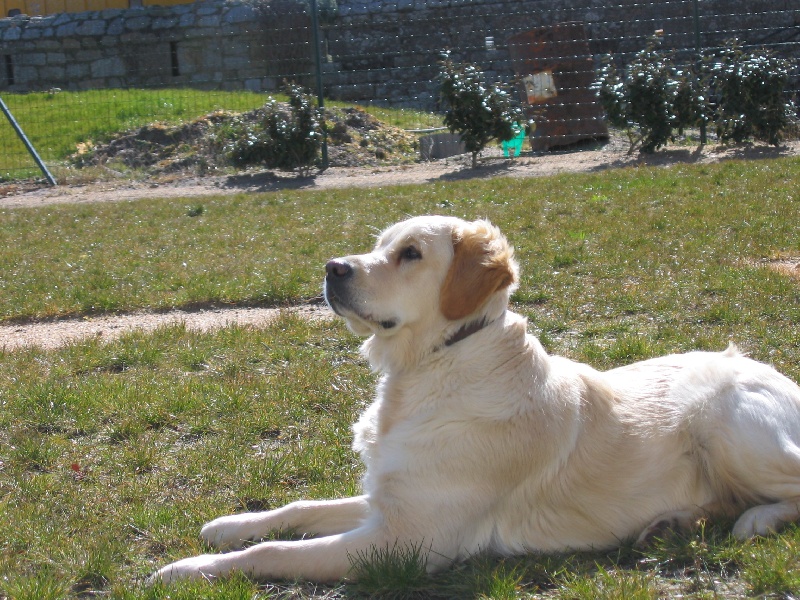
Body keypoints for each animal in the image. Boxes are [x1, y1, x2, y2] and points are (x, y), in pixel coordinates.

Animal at [153, 217, 800, 584]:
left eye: (411, 254)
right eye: (378, 246)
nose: (333, 268)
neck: (427, 368)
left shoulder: (408, 542)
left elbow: (276, 551)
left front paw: (188, 570)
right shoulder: (389, 500)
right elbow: (298, 510)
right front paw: (230, 524)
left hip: (726, 421)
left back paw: (753, 519)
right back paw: (670, 523)